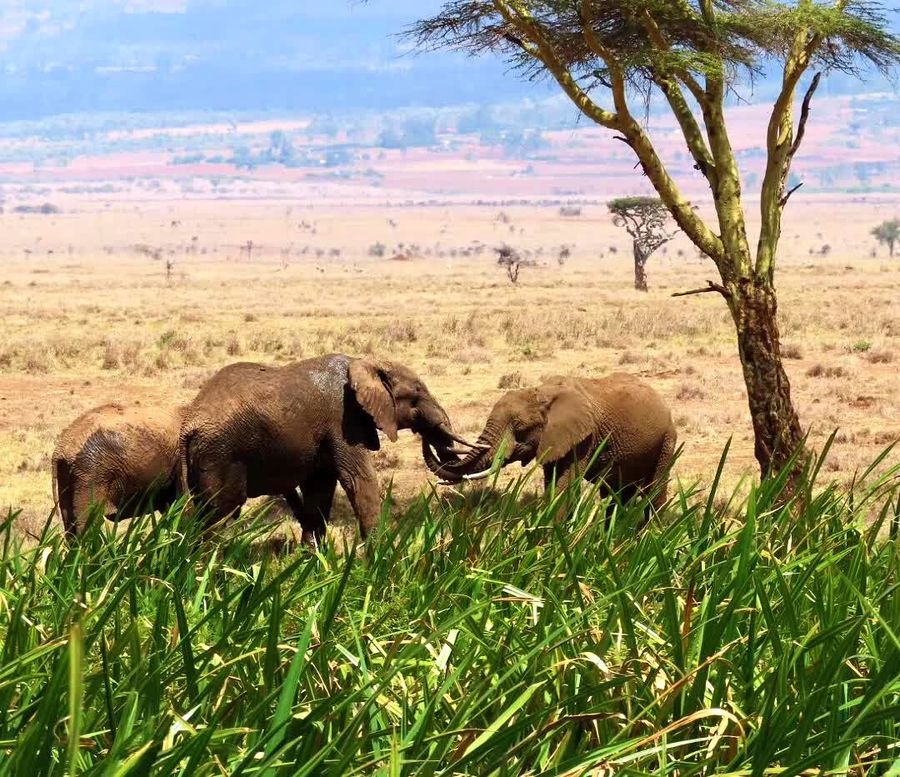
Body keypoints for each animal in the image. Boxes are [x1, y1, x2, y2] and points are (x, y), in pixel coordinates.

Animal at [177, 354, 472, 544]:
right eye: (418, 392)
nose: (426, 433)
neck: (366, 362)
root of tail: (189, 424)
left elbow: (320, 489)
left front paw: (313, 566)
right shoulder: (343, 420)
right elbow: (358, 479)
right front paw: (378, 564)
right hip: (221, 452)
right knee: (221, 512)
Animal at [428, 374, 676, 520]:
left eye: (519, 427)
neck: (542, 392)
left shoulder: (583, 438)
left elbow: (564, 486)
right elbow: (553, 482)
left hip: (667, 440)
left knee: (654, 491)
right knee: (616, 495)